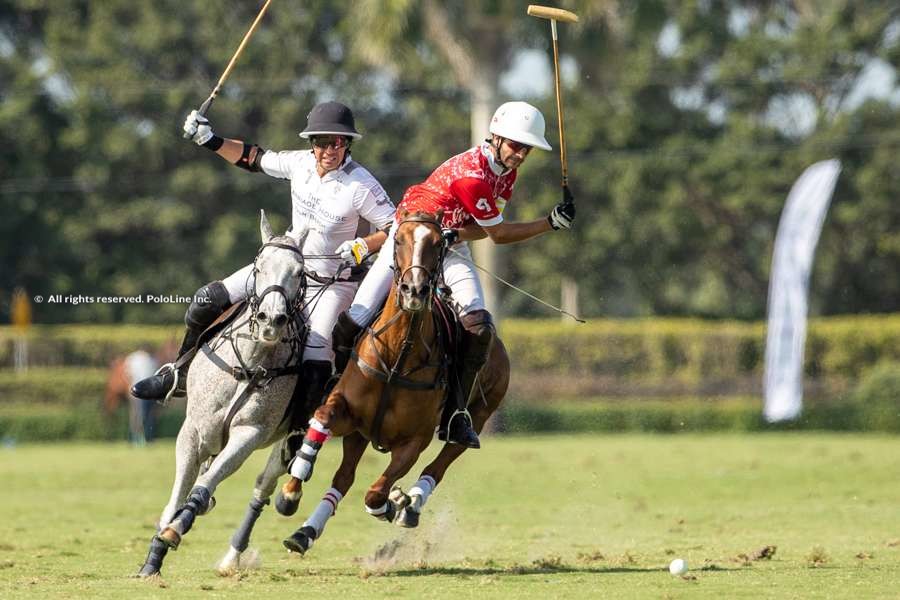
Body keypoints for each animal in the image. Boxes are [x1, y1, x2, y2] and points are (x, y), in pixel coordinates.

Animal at [139, 213, 310, 580]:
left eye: (299, 272)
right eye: (259, 266)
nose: (271, 321)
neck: (249, 361)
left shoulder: (249, 434)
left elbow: (202, 488)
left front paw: (174, 532)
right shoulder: (193, 429)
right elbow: (178, 494)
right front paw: (153, 558)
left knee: (263, 486)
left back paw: (235, 555)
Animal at [282, 209, 510, 556]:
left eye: (437, 243)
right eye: (399, 240)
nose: (413, 291)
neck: (398, 355)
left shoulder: (414, 441)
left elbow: (376, 492)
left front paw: (395, 504)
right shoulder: (348, 413)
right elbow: (322, 421)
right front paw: (290, 491)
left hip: (480, 416)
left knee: (438, 464)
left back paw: (410, 503)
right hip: (359, 435)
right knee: (343, 478)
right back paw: (304, 532)